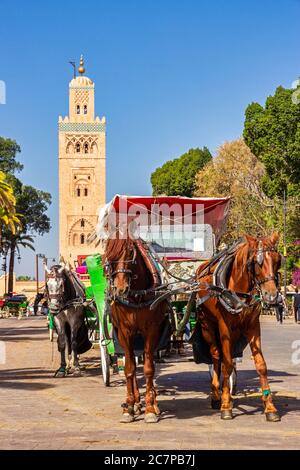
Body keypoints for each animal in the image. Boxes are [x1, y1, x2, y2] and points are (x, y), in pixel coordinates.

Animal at [103, 231, 169, 422]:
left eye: (130, 251)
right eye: (108, 253)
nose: (121, 288)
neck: (137, 295)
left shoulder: (152, 330)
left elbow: (148, 369)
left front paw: (150, 408)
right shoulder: (125, 333)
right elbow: (129, 369)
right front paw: (130, 407)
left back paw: (152, 402)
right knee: (130, 362)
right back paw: (134, 403)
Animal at [195, 233, 282, 420]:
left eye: (278, 260)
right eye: (256, 262)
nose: (272, 296)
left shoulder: (252, 327)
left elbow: (261, 365)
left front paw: (270, 407)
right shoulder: (224, 326)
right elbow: (227, 364)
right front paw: (226, 405)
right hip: (207, 324)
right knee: (216, 356)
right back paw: (216, 395)